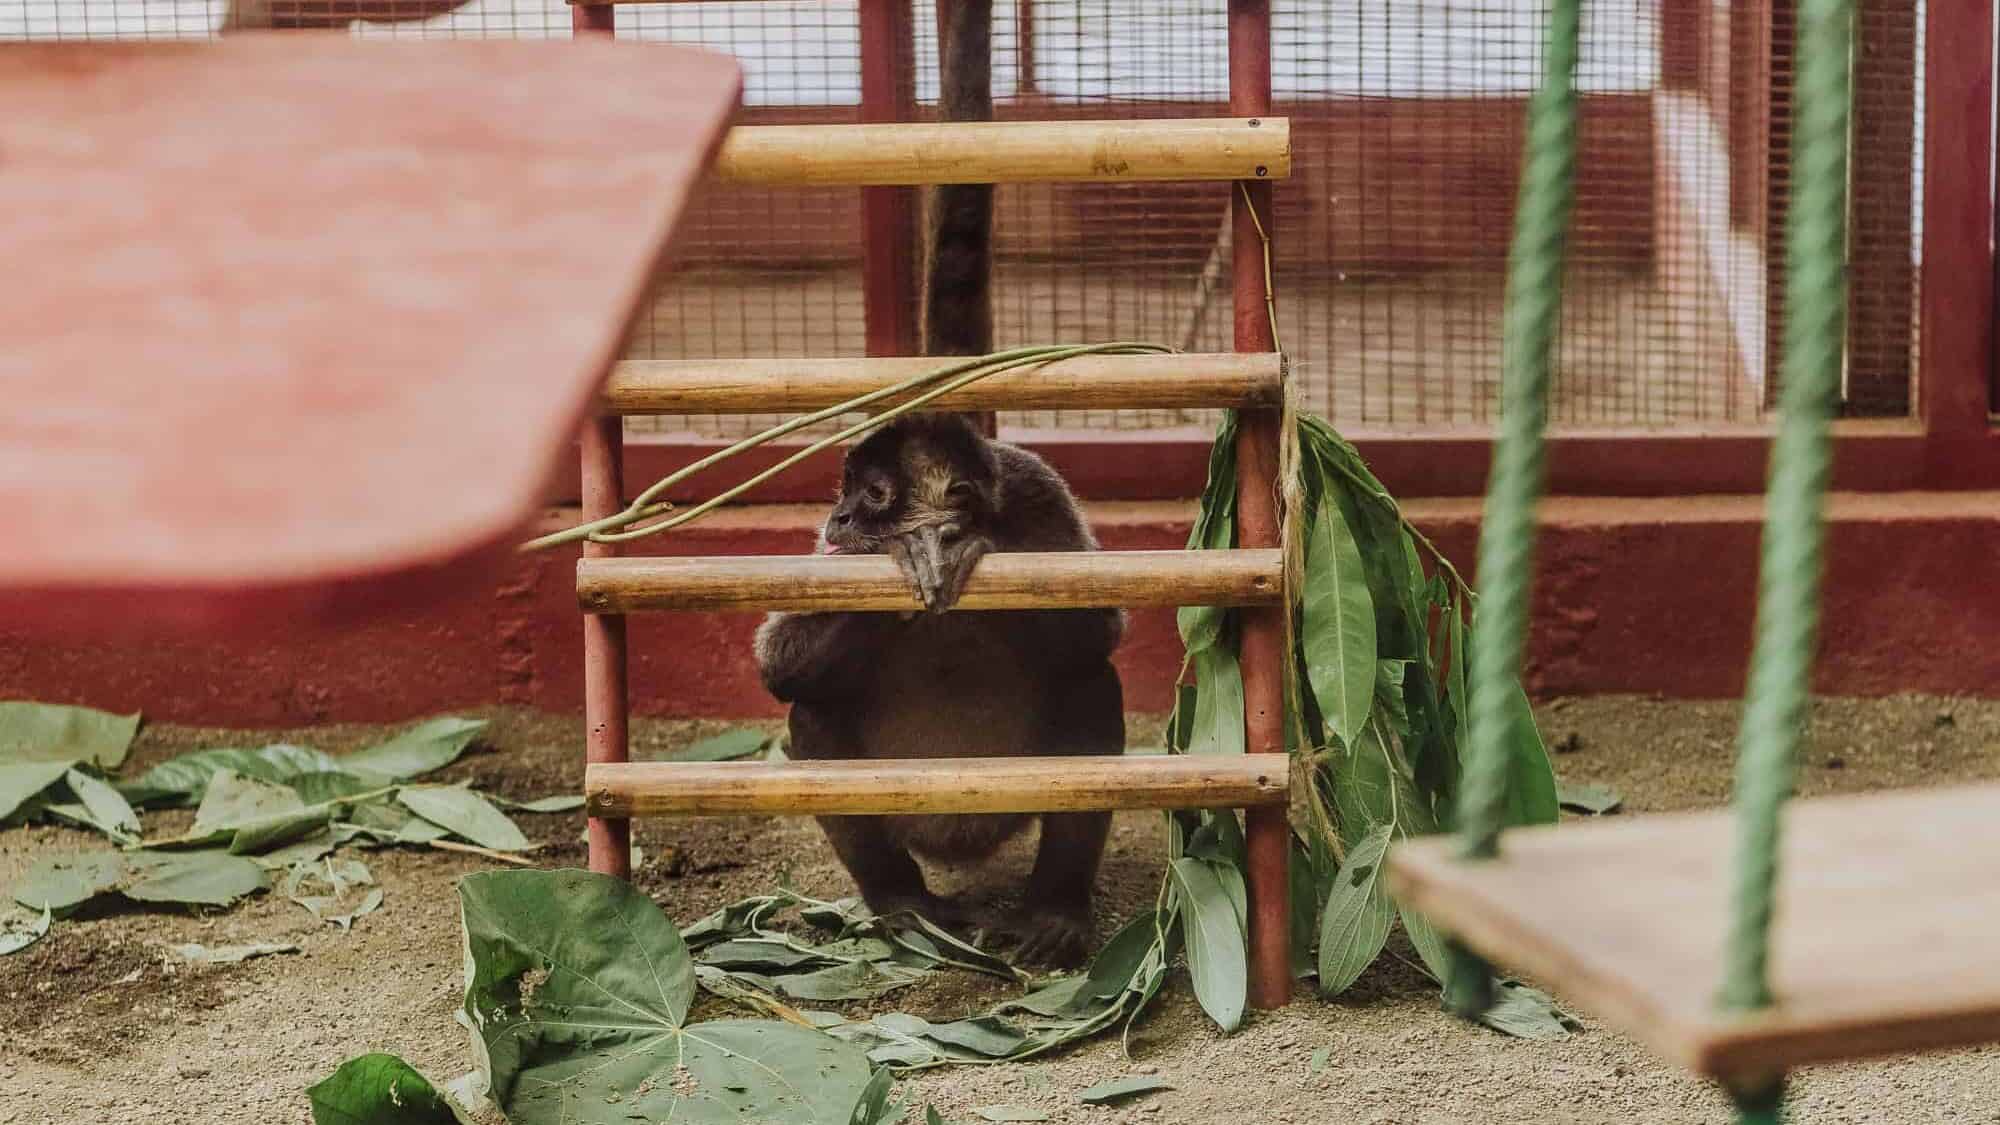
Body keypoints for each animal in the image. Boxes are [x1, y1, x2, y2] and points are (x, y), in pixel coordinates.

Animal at [753, 413, 1124, 966]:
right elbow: (776, 665)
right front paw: (905, 550)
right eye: (846, 489)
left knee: (1091, 683)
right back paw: (904, 903)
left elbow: (1101, 634)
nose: (838, 516)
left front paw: (977, 542)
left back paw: (1054, 910)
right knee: (814, 712)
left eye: (873, 492)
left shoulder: (1036, 491)